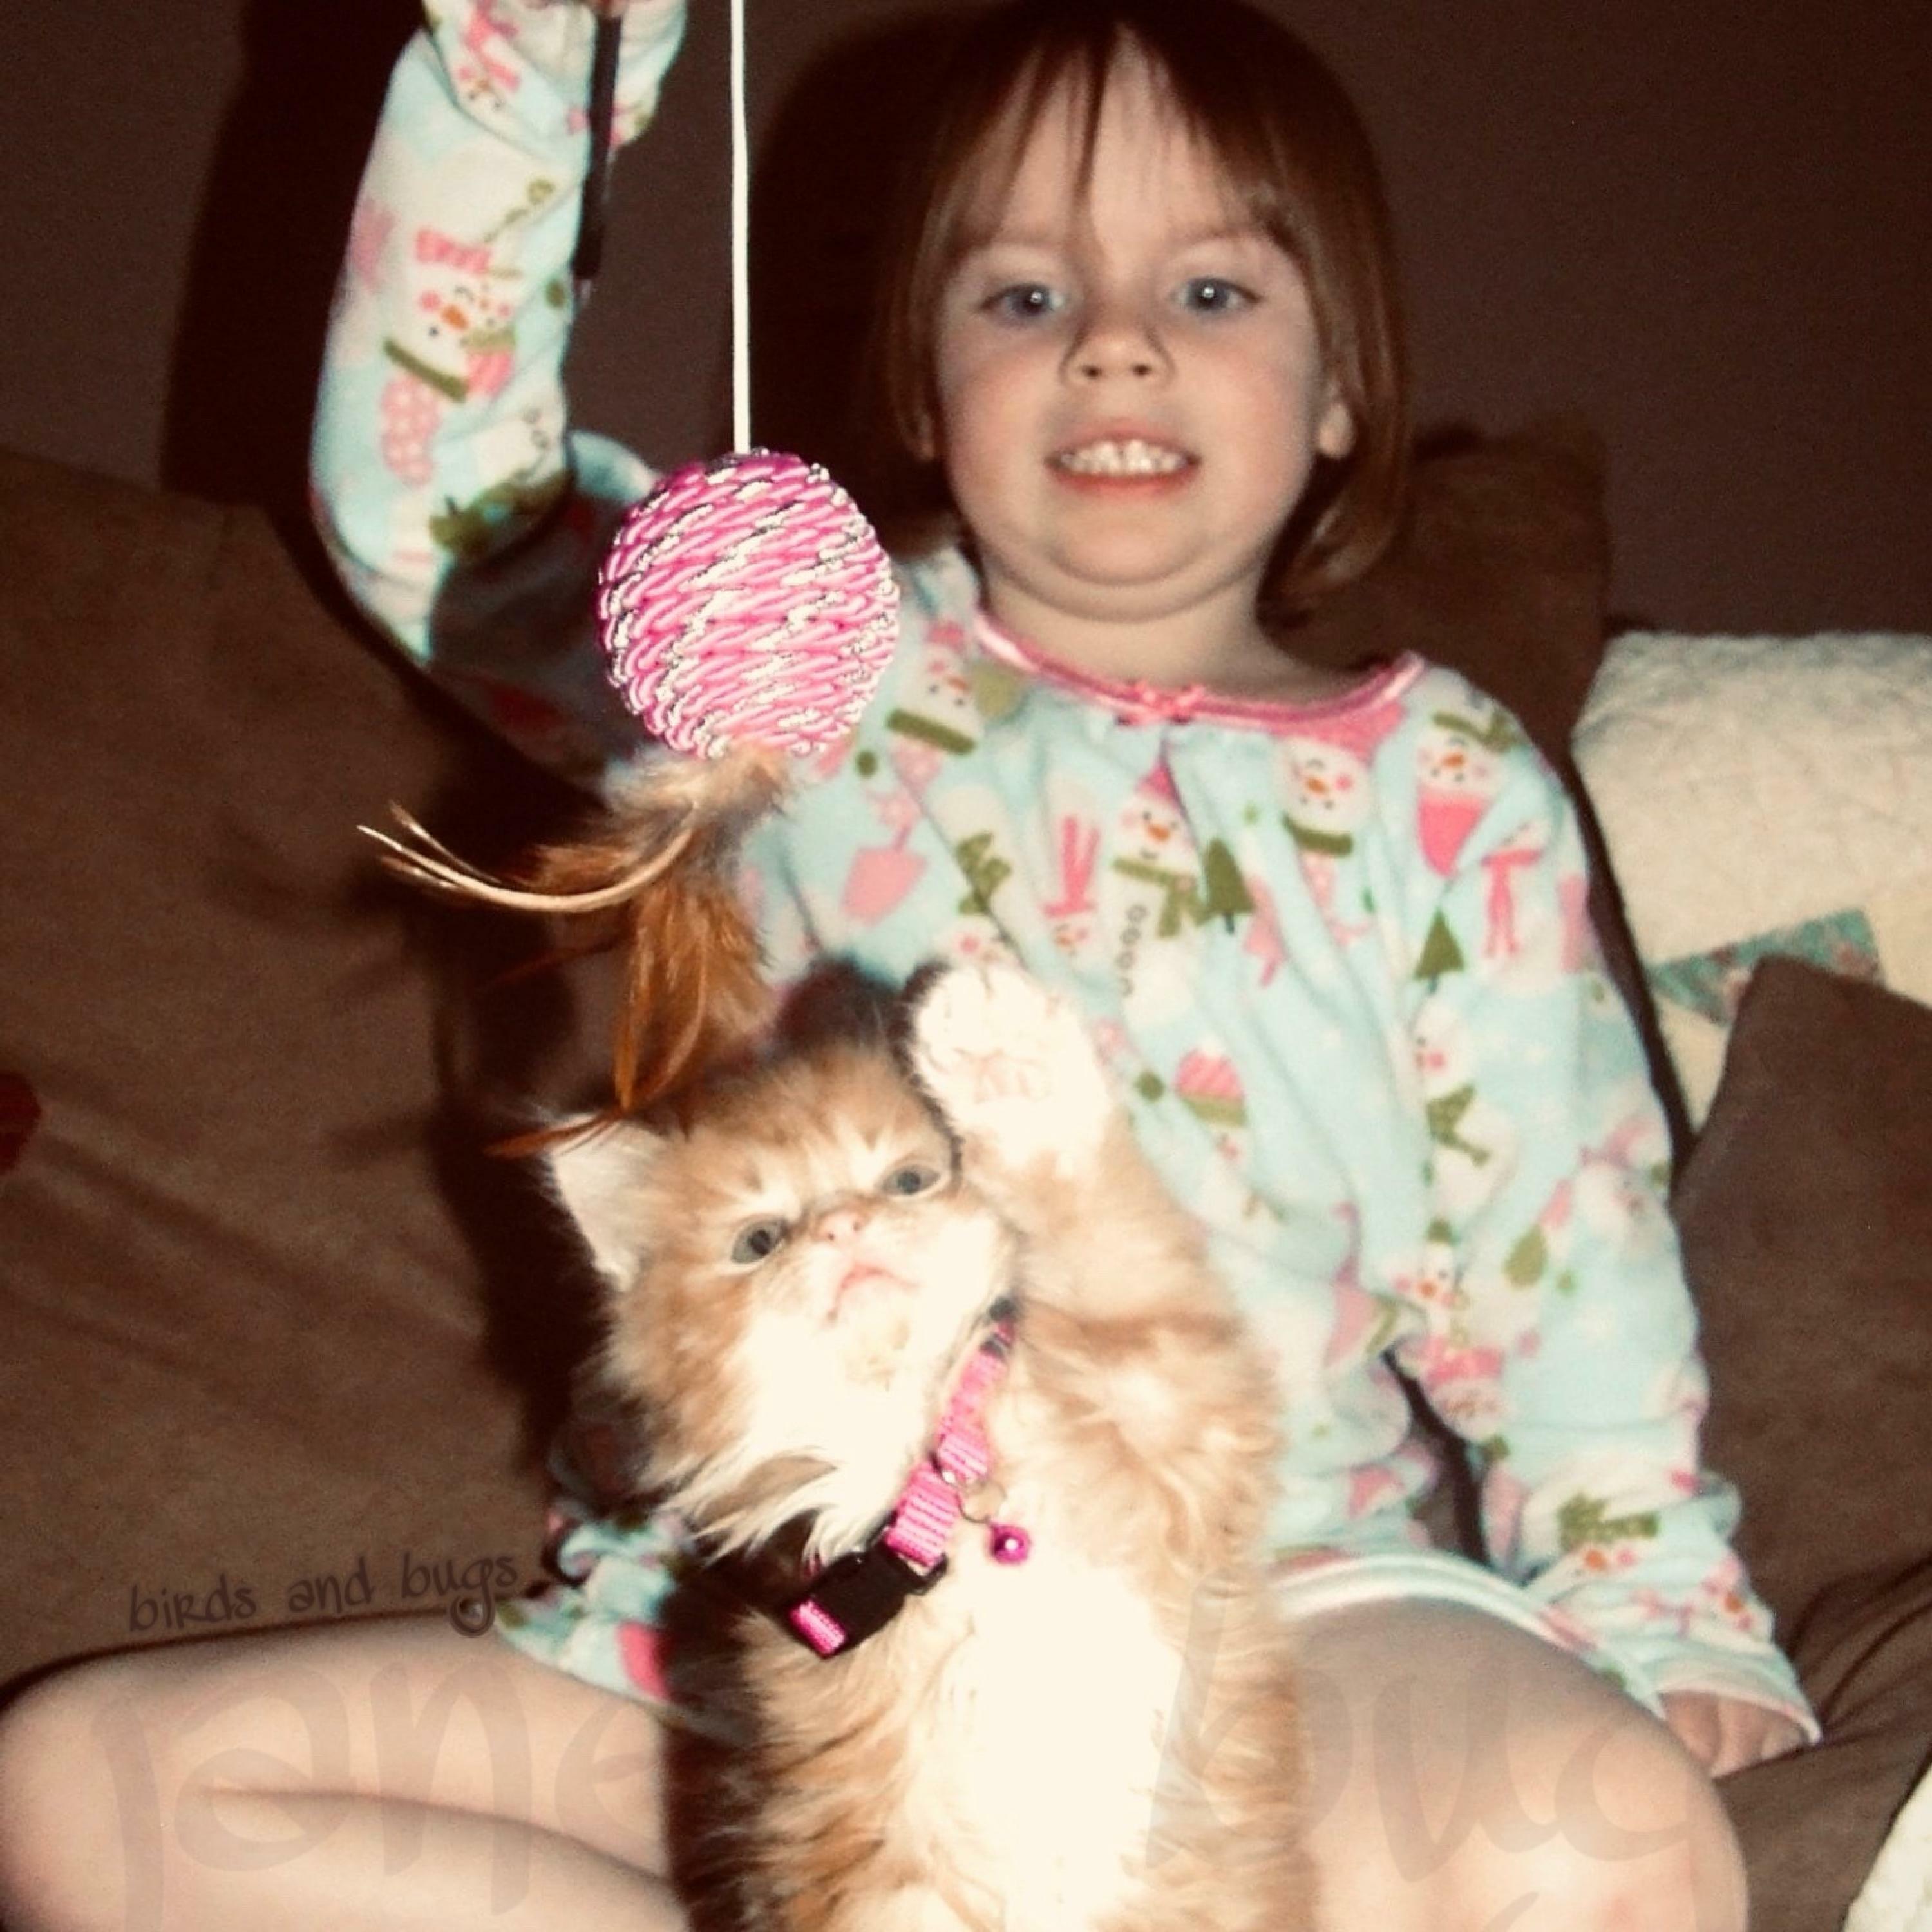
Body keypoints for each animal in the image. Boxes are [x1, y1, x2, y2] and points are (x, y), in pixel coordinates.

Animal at [548, 959, 1313, 1932]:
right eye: (759, 1241)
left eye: (908, 1181)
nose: (841, 1227)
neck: (941, 1481)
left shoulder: (1176, 1405)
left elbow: (1108, 1235)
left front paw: (1005, 1060)